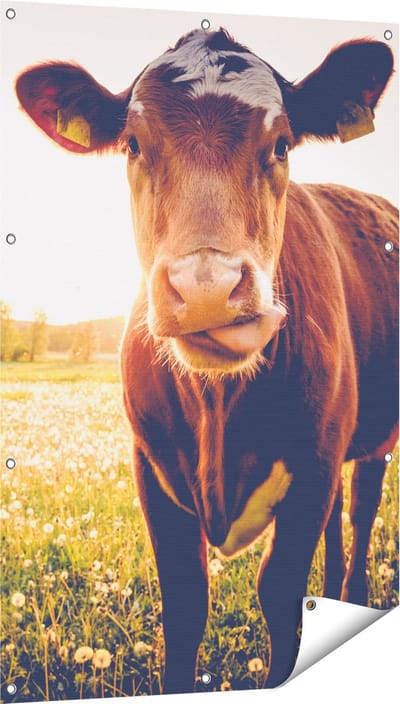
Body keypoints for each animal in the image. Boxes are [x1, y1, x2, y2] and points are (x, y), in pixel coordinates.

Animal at [16, 28, 398, 693]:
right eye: (134, 144)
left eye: (281, 144)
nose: (206, 290)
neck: (219, 406)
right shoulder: (150, 467)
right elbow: (186, 600)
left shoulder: (314, 462)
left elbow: (279, 594)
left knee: (359, 510)